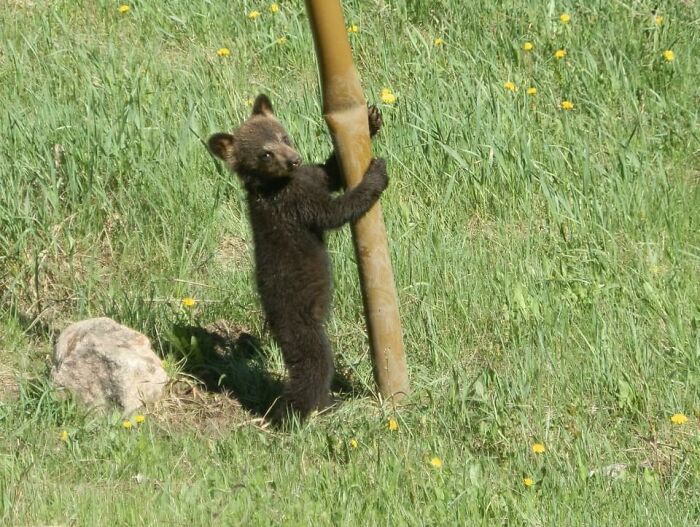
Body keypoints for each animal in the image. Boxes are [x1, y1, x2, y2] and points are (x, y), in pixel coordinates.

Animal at [208, 94, 387, 422]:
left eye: (283, 136)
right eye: (265, 154)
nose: (293, 159)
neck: (278, 184)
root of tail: (273, 320)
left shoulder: (310, 177)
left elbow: (329, 172)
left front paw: (370, 119)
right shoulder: (295, 204)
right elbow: (335, 211)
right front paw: (375, 173)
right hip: (303, 327)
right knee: (314, 367)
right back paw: (295, 413)